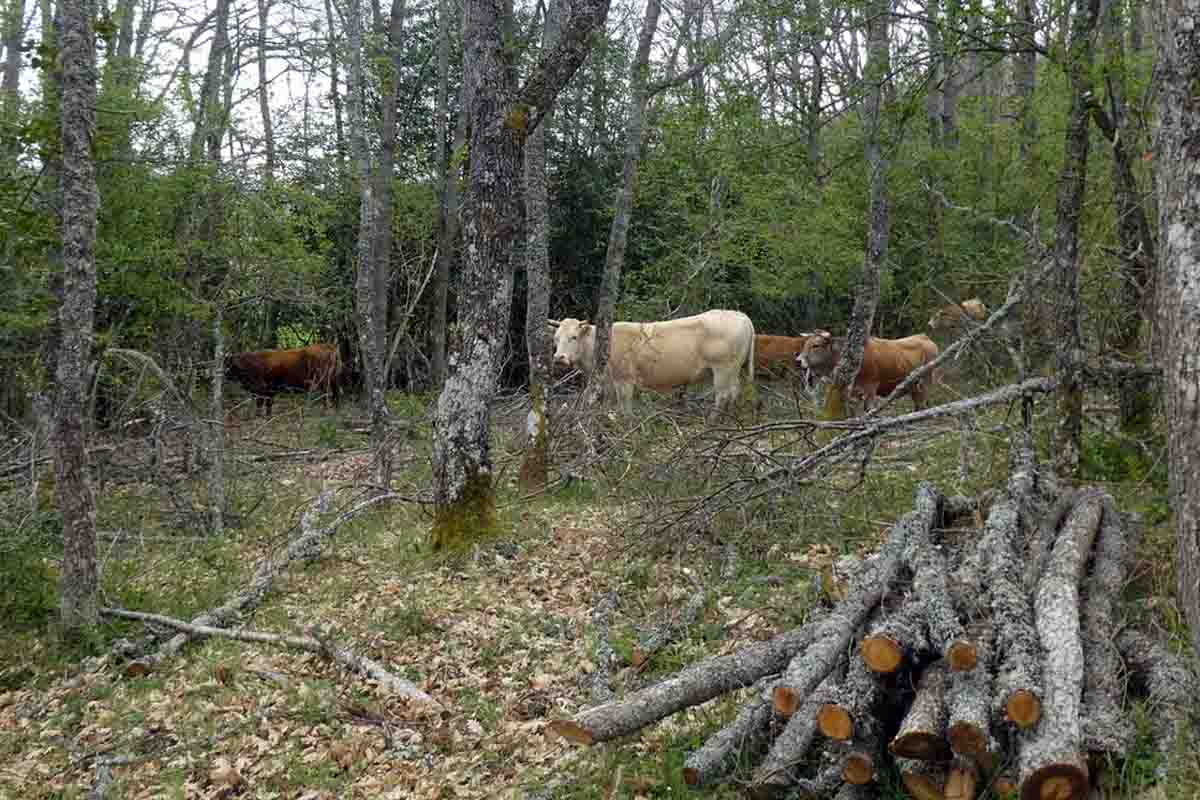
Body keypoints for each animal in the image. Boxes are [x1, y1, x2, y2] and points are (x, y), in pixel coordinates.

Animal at [549, 309, 753, 417]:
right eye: (556, 338)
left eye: (574, 337)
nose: (559, 357)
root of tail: (739, 315)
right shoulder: (609, 381)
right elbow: (608, 403)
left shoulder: (624, 379)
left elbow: (625, 406)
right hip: (734, 370)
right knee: (735, 392)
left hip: (723, 368)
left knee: (723, 395)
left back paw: (713, 420)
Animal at [801, 331, 940, 412]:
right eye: (805, 344)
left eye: (816, 345)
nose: (799, 360)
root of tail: (924, 336)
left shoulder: (870, 388)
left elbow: (868, 410)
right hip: (914, 387)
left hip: (925, 381)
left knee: (923, 403)